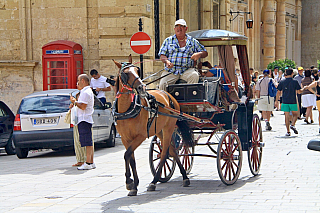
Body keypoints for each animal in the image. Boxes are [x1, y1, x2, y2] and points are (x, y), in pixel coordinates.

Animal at [112, 55, 192, 196]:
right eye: (125, 74)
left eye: (137, 71)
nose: (142, 87)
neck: (127, 108)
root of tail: (169, 95)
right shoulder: (125, 138)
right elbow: (130, 158)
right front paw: (133, 184)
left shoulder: (141, 136)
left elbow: (127, 155)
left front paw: (129, 182)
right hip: (159, 130)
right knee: (173, 151)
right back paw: (184, 177)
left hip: (168, 128)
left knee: (165, 153)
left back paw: (154, 182)